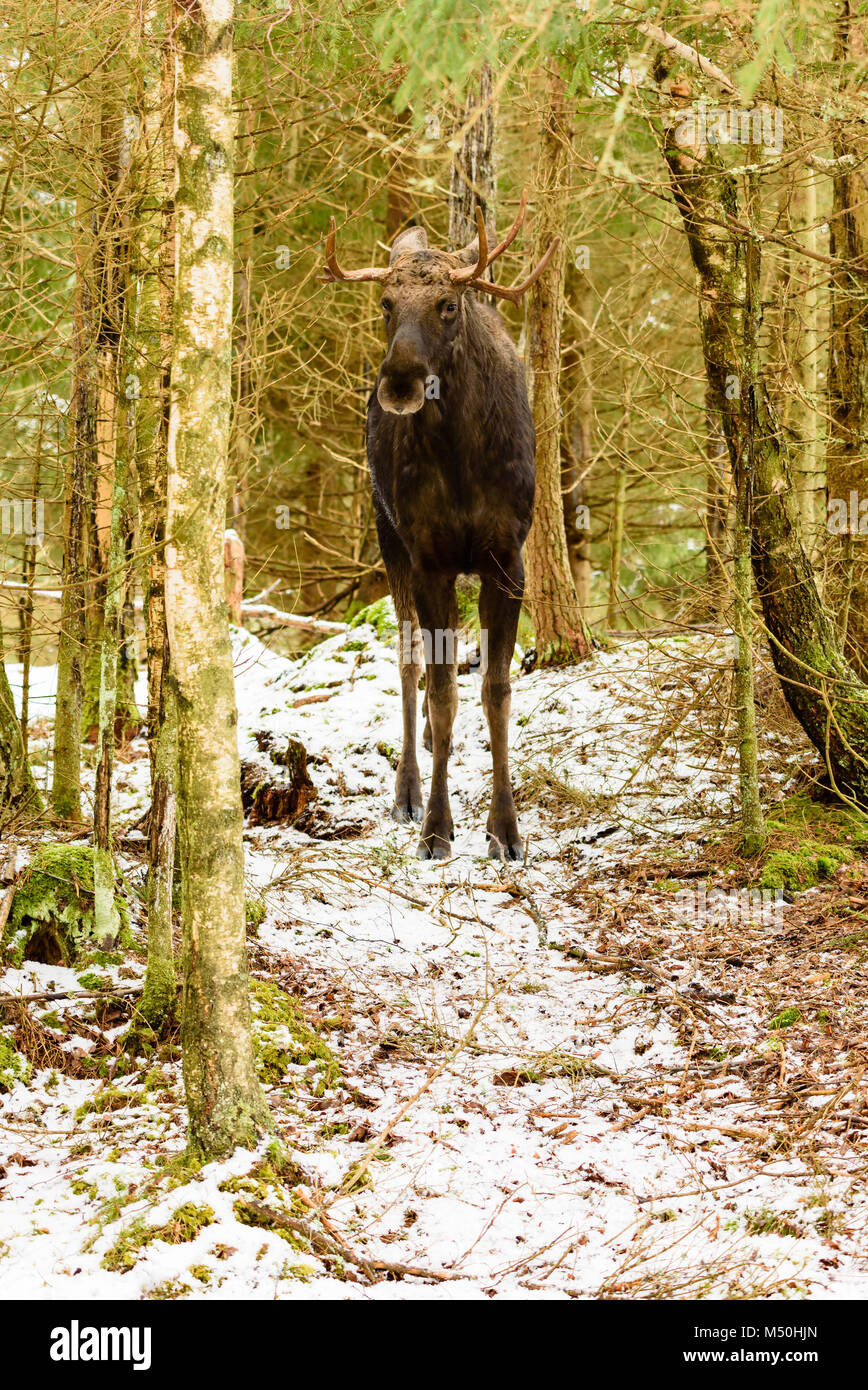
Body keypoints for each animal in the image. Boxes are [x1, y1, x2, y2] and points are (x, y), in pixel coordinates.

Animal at [322, 193, 559, 856]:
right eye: (386, 303)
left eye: (448, 304)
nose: (399, 382)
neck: (461, 459)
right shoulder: (429, 558)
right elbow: (444, 690)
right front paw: (436, 826)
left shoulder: (507, 558)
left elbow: (496, 692)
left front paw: (506, 830)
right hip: (388, 539)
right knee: (407, 667)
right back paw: (405, 789)